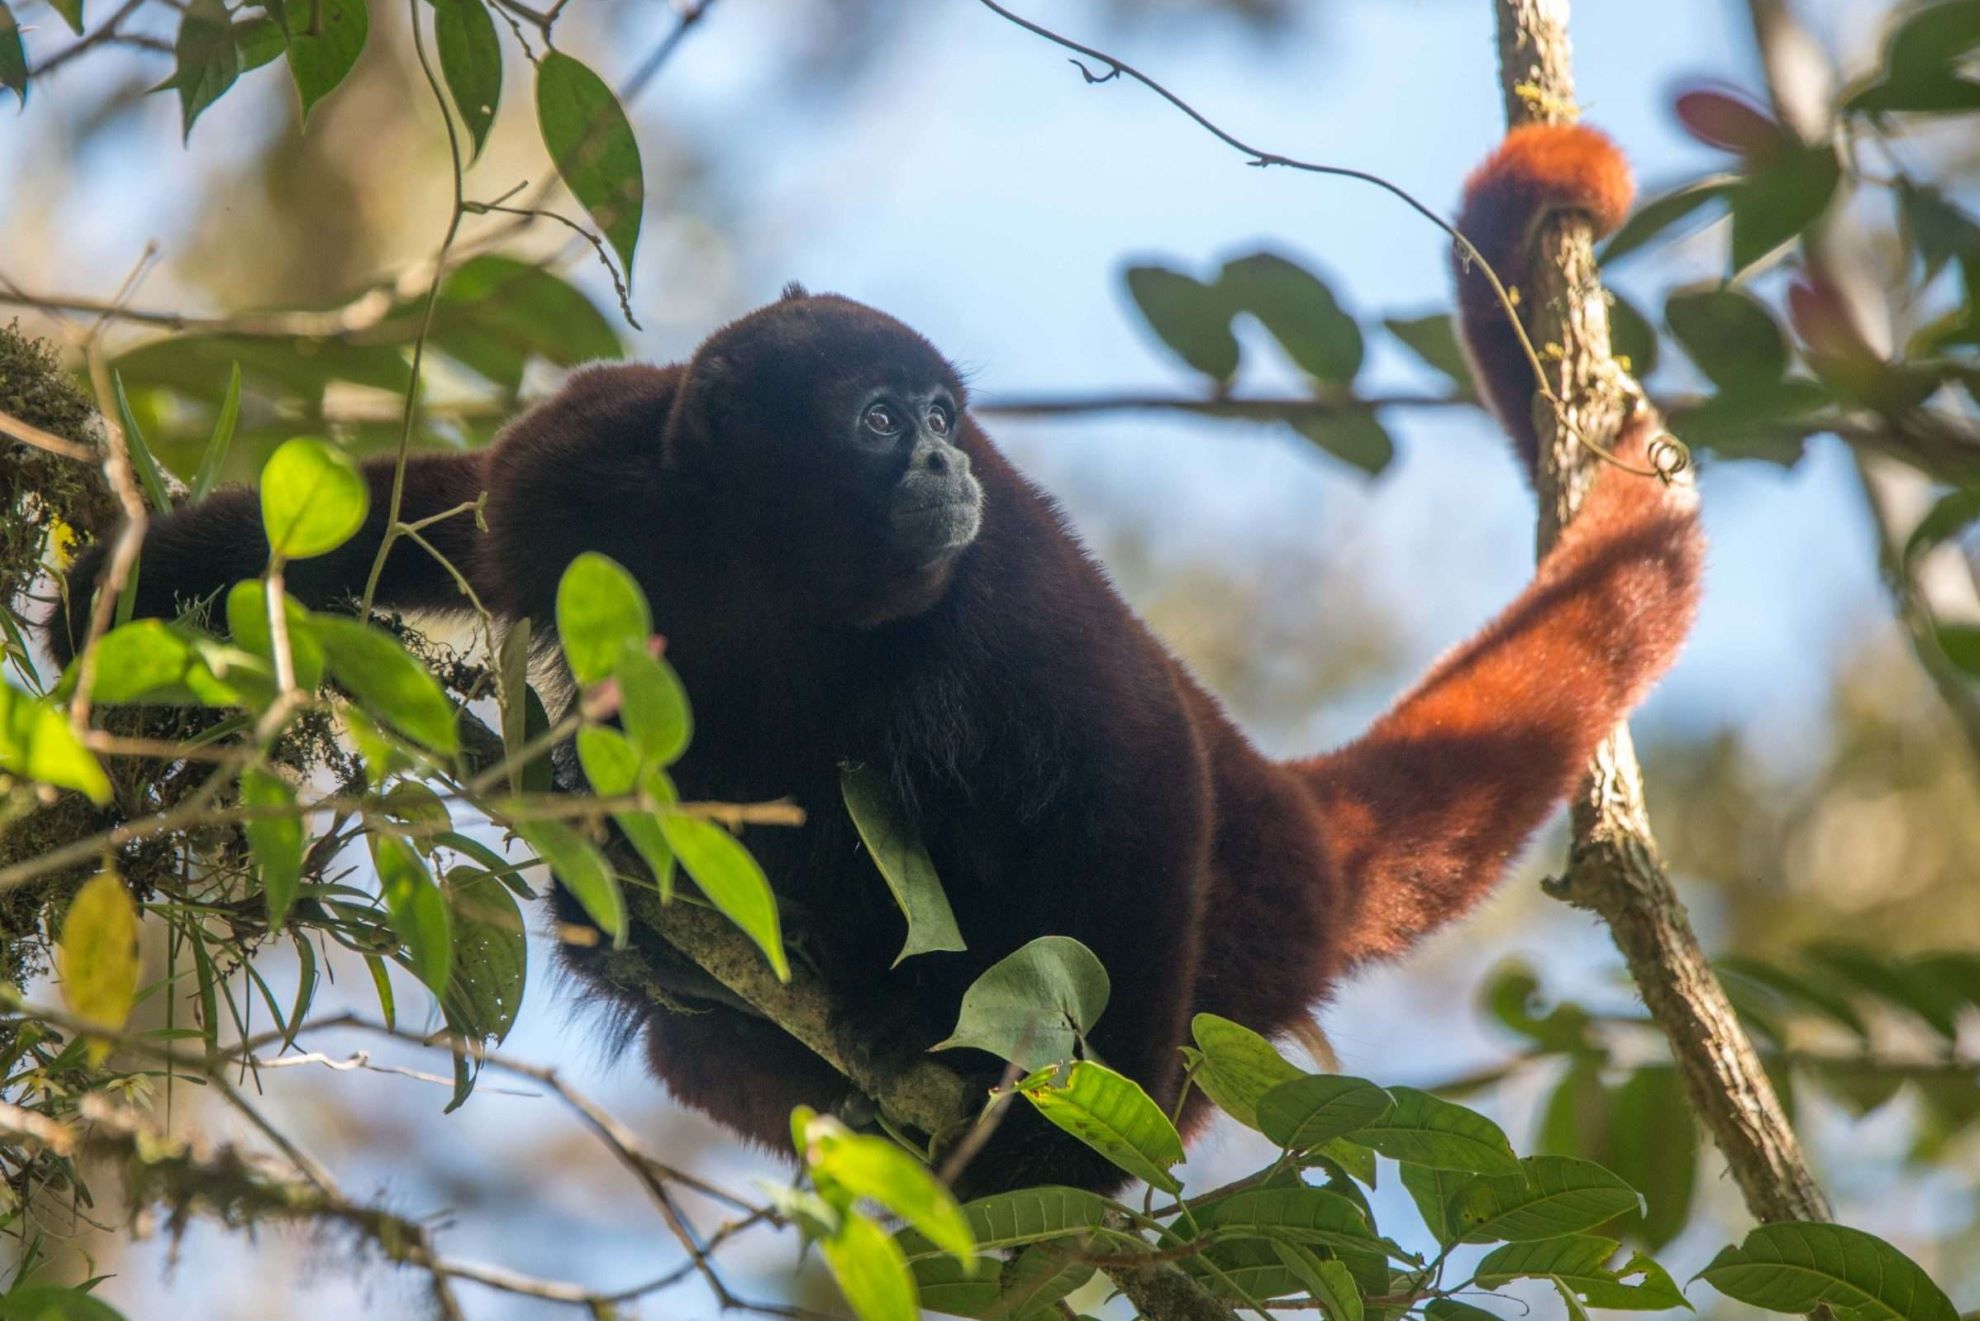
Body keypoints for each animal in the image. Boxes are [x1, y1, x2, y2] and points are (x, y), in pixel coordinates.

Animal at [49, 123, 1699, 1198]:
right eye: (878, 418)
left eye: (947, 416)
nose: (948, 463)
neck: (773, 564)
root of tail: (1296, 836)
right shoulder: (586, 464)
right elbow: (422, 520)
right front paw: (144, 604)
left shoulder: (1001, 586)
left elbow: (1128, 768)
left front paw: (1052, 1152)